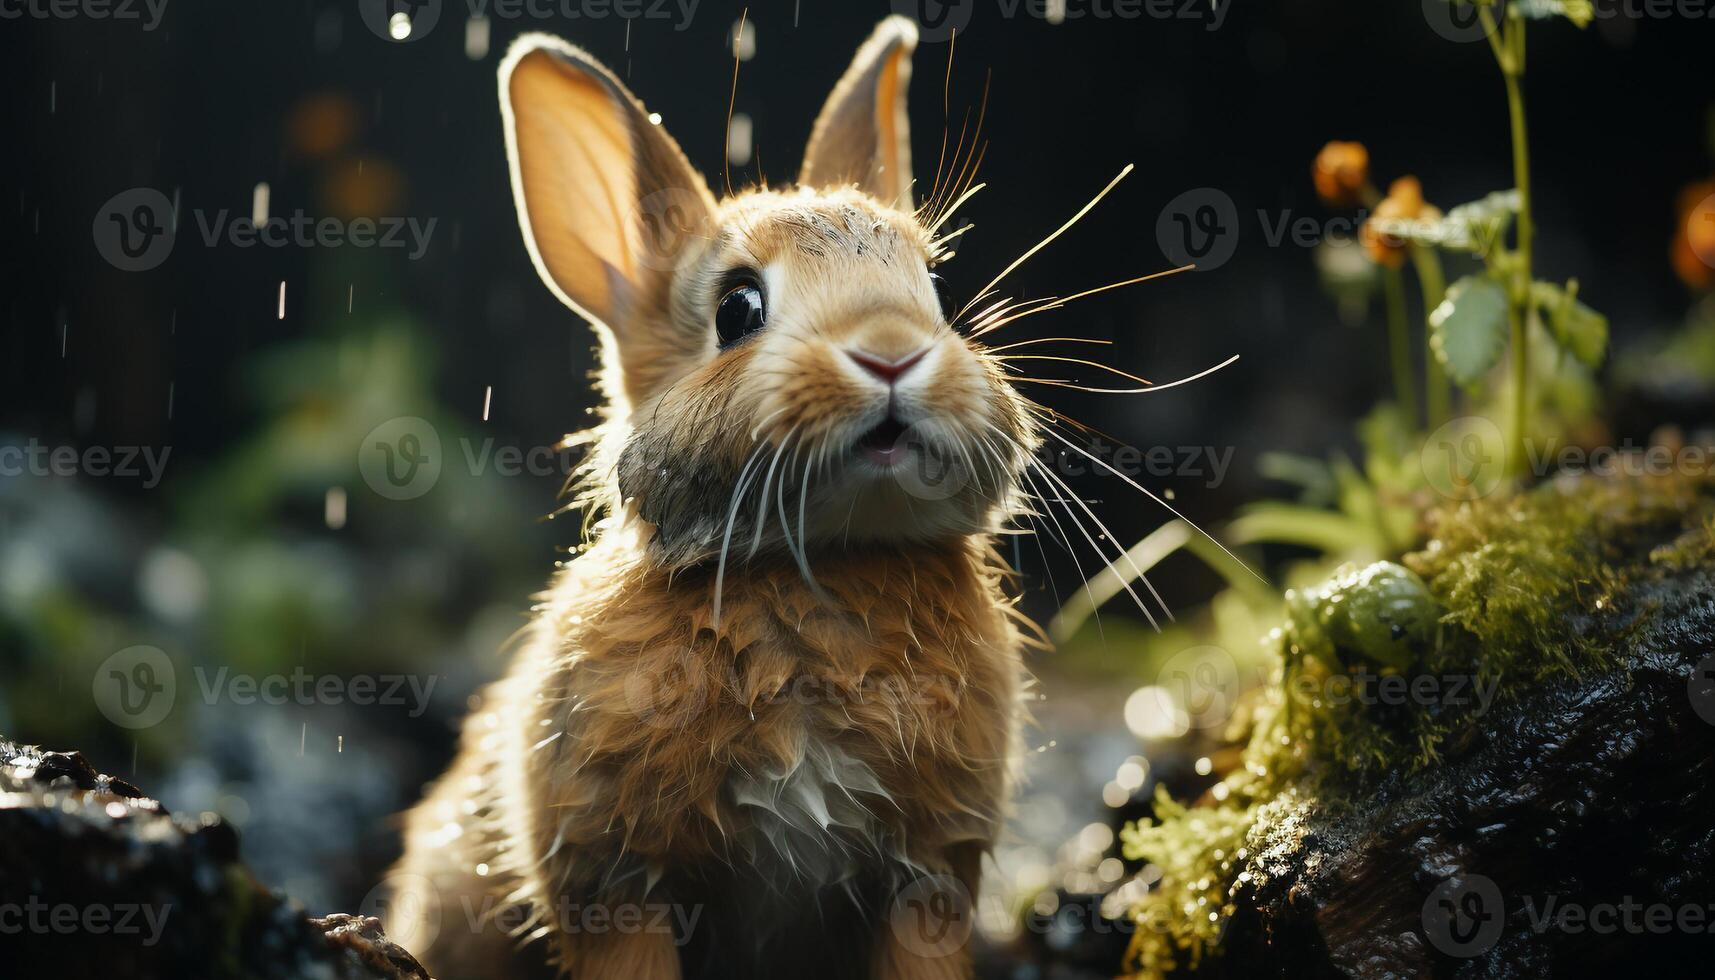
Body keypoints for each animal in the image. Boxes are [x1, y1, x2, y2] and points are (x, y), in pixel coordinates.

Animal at [392, 15, 1049, 980]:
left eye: (935, 291)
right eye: (738, 308)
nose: (892, 352)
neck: (816, 563)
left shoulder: (927, 877)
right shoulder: (616, 881)